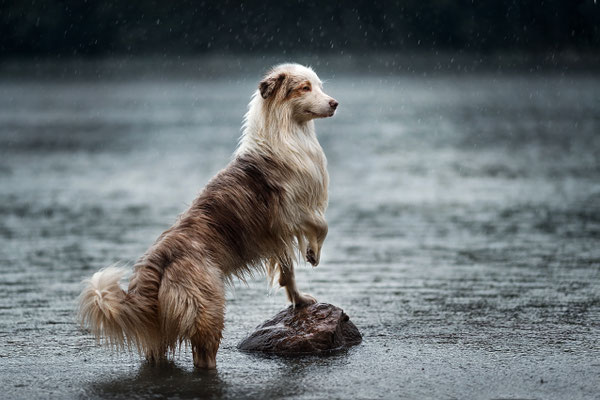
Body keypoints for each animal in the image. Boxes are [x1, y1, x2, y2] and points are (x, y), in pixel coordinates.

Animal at [77, 63, 338, 368]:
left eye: (319, 86)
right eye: (305, 88)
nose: (335, 103)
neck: (287, 132)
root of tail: (158, 261)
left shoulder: (279, 235)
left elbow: (289, 272)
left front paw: (299, 298)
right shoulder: (289, 212)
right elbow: (321, 225)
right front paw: (313, 253)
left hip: (162, 326)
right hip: (208, 308)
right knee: (203, 355)